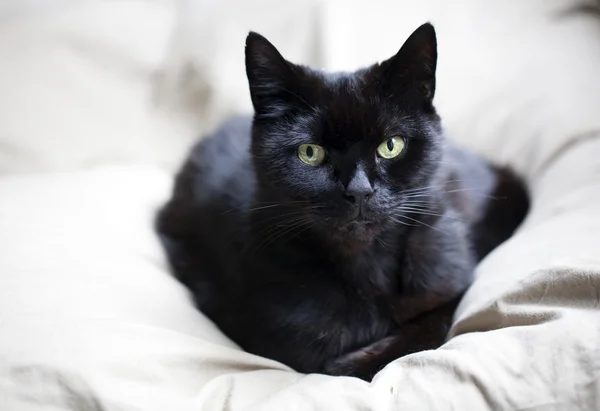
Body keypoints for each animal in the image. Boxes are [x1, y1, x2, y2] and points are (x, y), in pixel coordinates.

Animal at [157, 23, 528, 384]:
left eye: (391, 145)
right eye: (309, 152)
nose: (359, 191)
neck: (366, 267)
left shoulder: (450, 282)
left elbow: (428, 327)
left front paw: (356, 359)